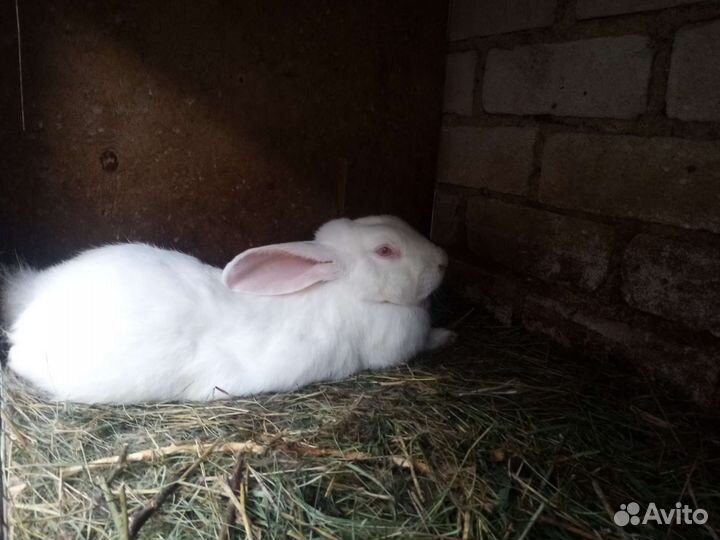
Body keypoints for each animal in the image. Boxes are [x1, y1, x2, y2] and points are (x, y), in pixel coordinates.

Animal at [2, 215, 455, 404]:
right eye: (386, 250)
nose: (443, 261)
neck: (348, 289)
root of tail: (33, 301)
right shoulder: (392, 350)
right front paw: (448, 334)